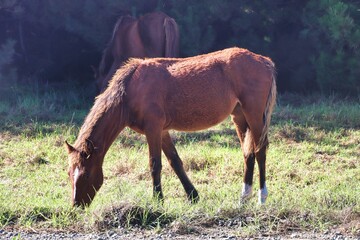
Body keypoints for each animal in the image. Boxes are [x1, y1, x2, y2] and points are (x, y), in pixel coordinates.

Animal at [66, 47, 278, 207]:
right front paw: (193, 195)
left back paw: (262, 198)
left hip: (254, 116)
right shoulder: (162, 132)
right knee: (248, 154)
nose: (76, 205)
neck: (130, 90)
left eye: (86, 174)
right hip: (239, 118)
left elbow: (155, 164)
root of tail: (265, 61)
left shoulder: (153, 129)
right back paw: (244, 197)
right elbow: (175, 161)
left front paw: (158, 200)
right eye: (69, 173)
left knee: (260, 151)